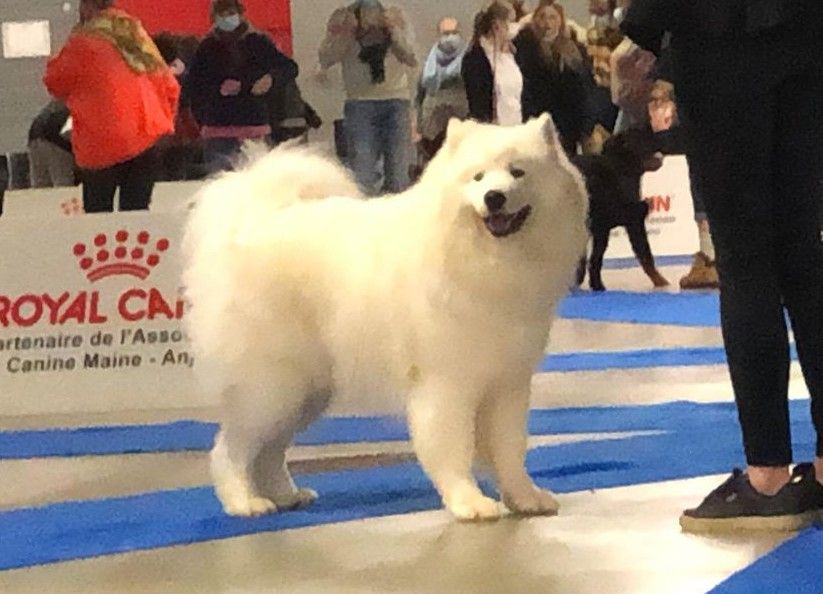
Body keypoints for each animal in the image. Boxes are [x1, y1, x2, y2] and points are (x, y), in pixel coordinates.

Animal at [183, 114, 588, 520]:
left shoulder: (508, 383)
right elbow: (452, 447)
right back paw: (244, 502)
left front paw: (525, 497)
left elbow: (510, 449)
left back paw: (287, 496)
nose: (494, 197)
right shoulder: (447, 383)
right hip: (272, 385)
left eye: (518, 172)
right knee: (231, 448)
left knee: (269, 451)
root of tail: (253, 221)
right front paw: (468, 502)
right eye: (477, 177)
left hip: (305, 391)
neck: (484, 262)